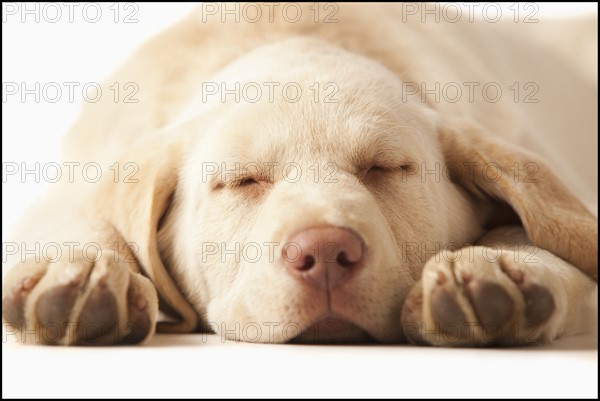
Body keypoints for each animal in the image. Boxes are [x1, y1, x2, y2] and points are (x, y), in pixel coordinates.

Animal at [2, 3, 596, 346]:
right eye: (242, 181)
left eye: (384, 168)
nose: (327, 254)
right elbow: (81, 216)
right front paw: (81, 267)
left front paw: (501, 262)